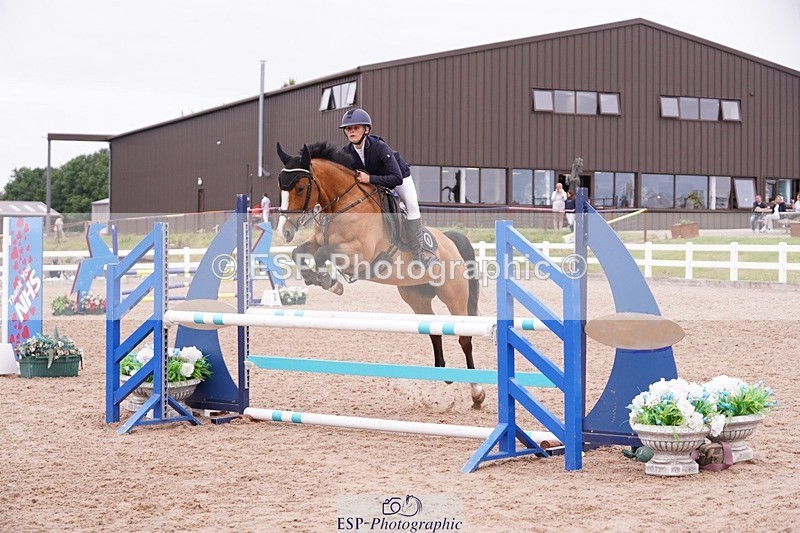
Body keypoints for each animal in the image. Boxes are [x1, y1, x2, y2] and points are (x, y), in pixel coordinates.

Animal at [275, 141, 485, 408]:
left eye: (300, 187)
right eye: (281, 187)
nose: (285, 231)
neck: (342, 203)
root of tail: (450, 241)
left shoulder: (358, 253)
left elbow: (323, 254)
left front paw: (330, 281)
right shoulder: (317, 242)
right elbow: (299, 253)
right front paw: (322, 280)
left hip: (454, 295)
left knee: (464, 337)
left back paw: (477, 392)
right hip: (416, 297)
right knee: (434, 330)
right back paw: (444, 375)